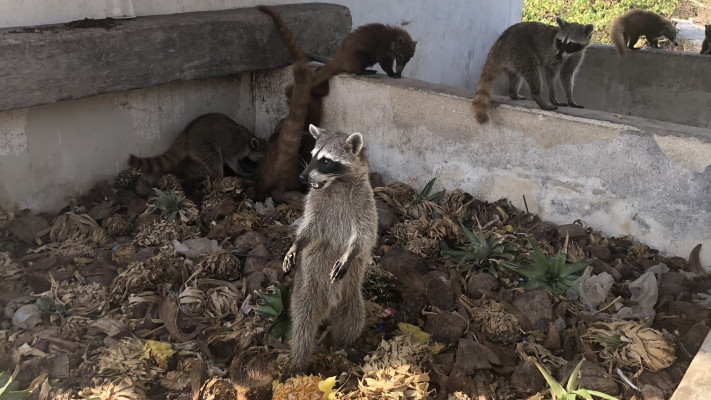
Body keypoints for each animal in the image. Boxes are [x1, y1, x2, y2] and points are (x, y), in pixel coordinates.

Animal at [284, 125, 382, 372]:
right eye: (311, 156)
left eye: (326, 161)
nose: (302, 177)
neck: (335, 184)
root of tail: (329, 307)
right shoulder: (315, 204)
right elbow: (310, 230)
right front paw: (296, 244)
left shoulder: (366, 202)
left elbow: (366, 234)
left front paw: (350, 253)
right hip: (306, 288)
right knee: (303, 324)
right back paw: (299, 363)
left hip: (352, 296)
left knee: (352, 319)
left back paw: (344, 346)